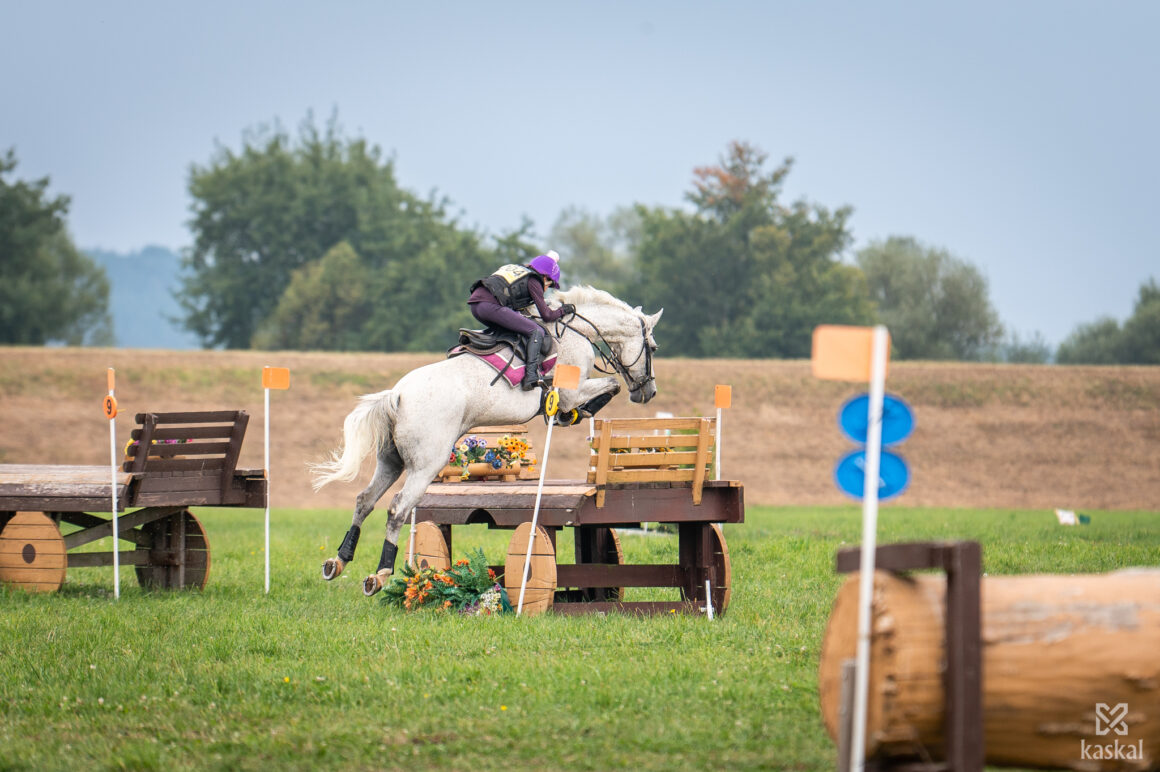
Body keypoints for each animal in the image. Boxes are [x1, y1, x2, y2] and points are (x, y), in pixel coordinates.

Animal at [310, 285, 663, 591]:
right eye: (653, 348)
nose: (648, 392)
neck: (577, 331)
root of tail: (397, 394)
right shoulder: (571, 391)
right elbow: (608, 387)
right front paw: (573, 414)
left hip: (391, 461)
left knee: (364, 501)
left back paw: (338, 561)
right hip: (426, 466)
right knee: (398, 509)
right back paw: (380, 574)